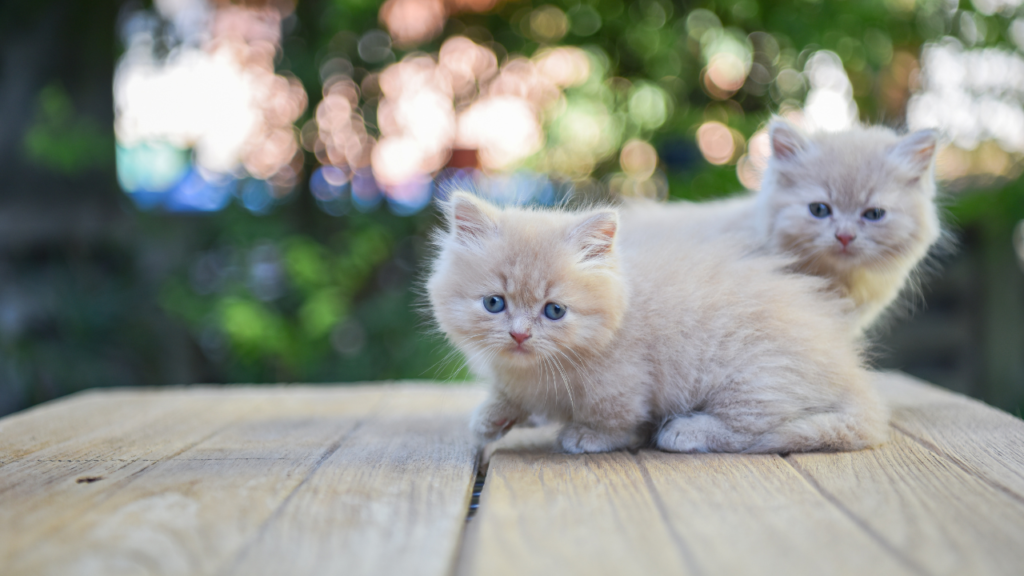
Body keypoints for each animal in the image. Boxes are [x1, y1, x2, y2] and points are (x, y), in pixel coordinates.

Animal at [425, 192, 888, 453]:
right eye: (494, 303)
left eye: (554, 311)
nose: (519, 334)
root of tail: (853, 374)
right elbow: (509, 397)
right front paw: (492, 418)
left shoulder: (623, 381)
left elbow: (614, 417)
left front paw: (590, 437)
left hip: (755, 378)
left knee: (754, 428)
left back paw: (686, 431)